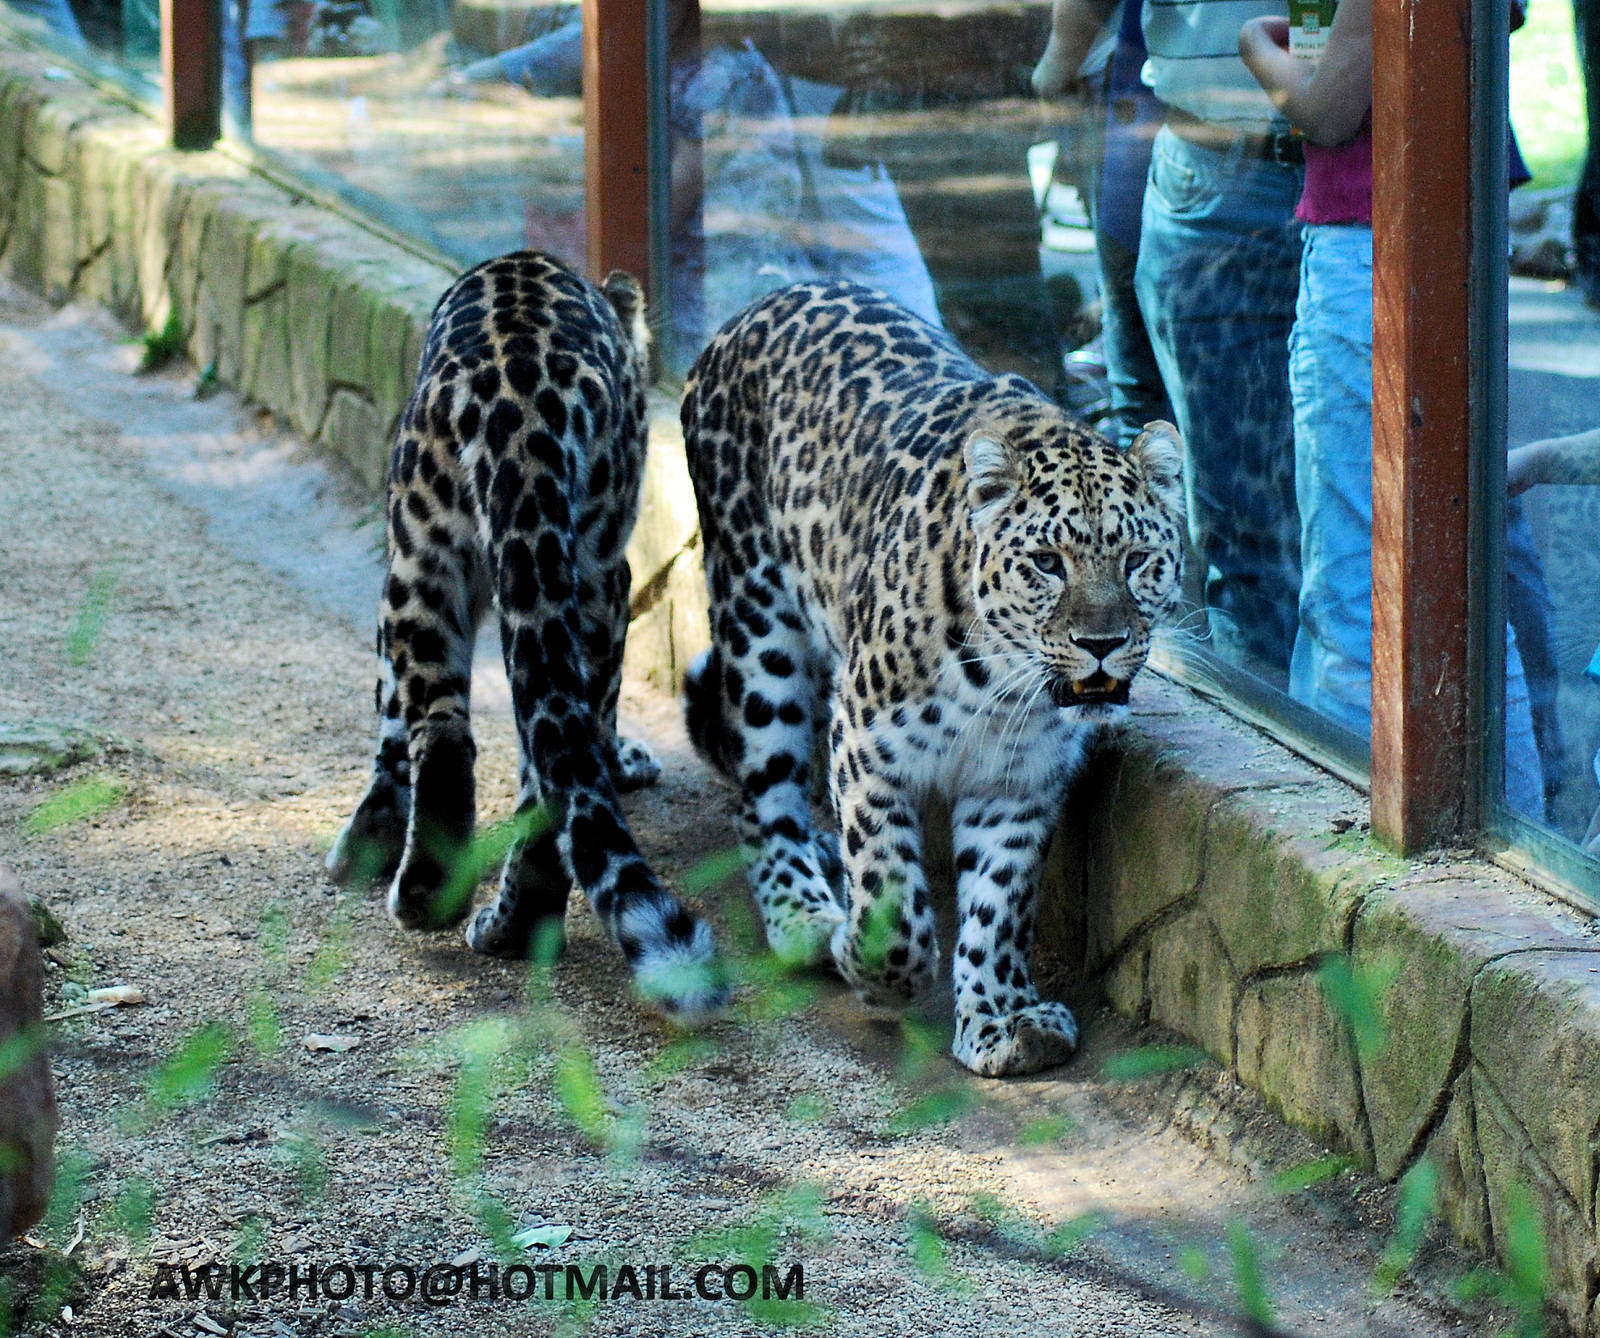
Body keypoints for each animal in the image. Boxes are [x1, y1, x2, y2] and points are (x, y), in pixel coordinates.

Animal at [327, 249, 725, 1026]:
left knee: (461, 738)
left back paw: (442, 900)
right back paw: (499, 916)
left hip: (437, 564)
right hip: (569, 583)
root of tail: (517, 402)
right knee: (528, 759)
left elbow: (388, 710)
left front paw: (369, 836)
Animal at [680, 280, 1185, 1076]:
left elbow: (999, 904)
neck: (998, 687)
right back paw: (803, 914)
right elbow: (887, 887)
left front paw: (1002, 1019)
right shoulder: (864, 742)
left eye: (1137, 560)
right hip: (756, 619)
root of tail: (759, 304)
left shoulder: (1017, 780)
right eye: (1047, 563)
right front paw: (869, 962)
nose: (1102, 644)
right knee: (763, 785)